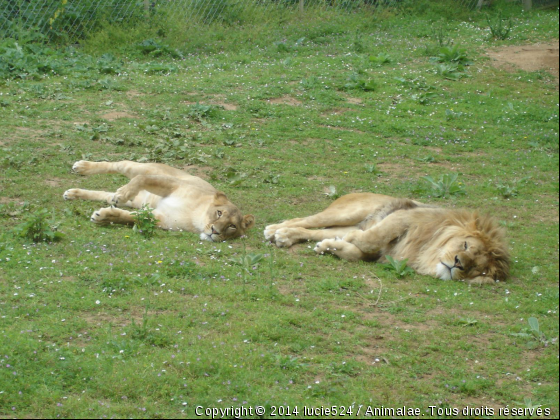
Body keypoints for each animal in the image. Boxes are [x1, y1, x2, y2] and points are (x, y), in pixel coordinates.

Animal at [63, 161, 254, 241]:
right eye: (219, 213)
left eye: (232, 226)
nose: (215, 231)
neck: (196, 216)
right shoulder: (173, 184)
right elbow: (141, 179)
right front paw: (122, 193)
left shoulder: (161, 219)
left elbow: (129, 217)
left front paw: (103, 216)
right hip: (139, 167)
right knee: (115, 165)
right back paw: (82, 167)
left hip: (136, 202)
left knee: (105, 195)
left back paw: (73, 193)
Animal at [264, 194, 510, 286]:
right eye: (465, 245)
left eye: (476, 268)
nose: (458, 263)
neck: (426, 253)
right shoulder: (405, 216)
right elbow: (374, 236)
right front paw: (351, 239)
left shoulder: (378, 254)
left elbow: (355, 252)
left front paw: (329, 247)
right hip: (348, 212)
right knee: (304, 219)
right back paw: (275, 230)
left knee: (315, 230)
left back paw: (287, 236)